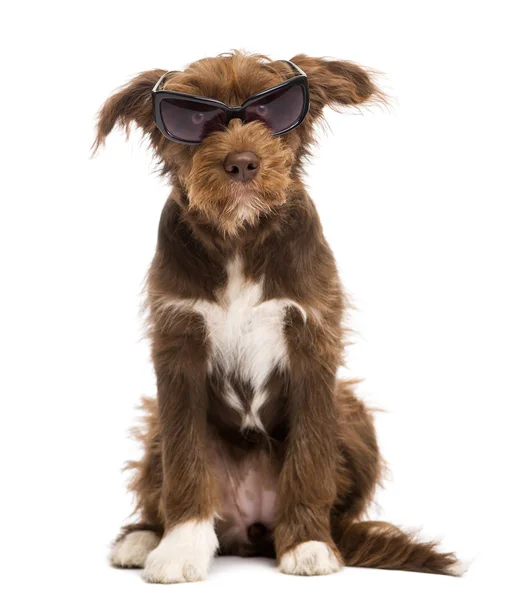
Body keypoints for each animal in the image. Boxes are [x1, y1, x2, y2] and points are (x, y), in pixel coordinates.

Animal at [95, 50, 462, 580]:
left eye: (270, 110)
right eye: (192, 119)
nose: (242, 162)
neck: (240, 237)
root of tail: (249, 531)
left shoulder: (313, 343)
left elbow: (309, 454)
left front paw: (307, 543)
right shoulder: (177, 347)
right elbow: (185, 459)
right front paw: (182, 547)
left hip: (352, 409)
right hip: (154, 429)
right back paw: (144, 537)